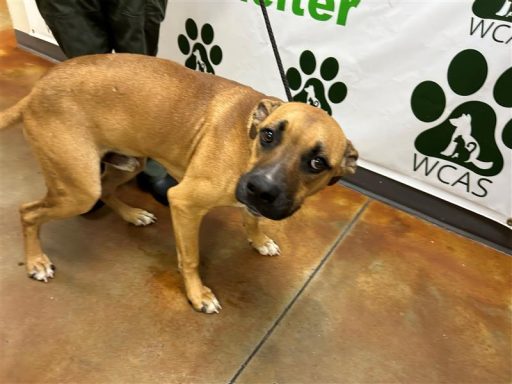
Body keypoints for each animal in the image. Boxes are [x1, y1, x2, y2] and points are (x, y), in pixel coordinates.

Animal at [0, 53, 356, 312]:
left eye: (317, 163)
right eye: (268, 135)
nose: (262, 189)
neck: (247, 140)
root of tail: (35, 92)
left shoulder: (252, 200)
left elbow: (251, 218)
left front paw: (258, 240)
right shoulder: (184, 203)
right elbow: (191, 258)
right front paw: (197, 295)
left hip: (128, 163)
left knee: (109, 189)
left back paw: (132, 214)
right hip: (79, 191)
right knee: (28, 211)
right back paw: (36, 261)